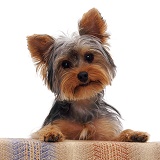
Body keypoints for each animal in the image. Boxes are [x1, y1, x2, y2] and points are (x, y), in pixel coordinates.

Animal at [27, 7, 149, 142]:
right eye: (65, 64)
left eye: (89, 56)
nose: (83, 75)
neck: (83, 101)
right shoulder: (57, 122)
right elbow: (44, 130)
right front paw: (51, 133)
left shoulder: (105, 134)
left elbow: (116, 136)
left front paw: (134, 134)